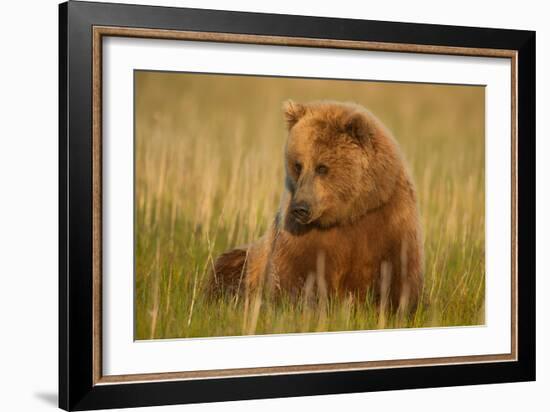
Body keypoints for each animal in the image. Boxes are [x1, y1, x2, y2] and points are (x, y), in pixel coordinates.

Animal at [213, 100, 424, 316]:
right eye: (298, 165)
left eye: (322, 167)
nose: (300, 208)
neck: (348, 214)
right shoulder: (301, 236)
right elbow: (295, 273)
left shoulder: (387, 218)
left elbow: (398, 273)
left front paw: (397, 308)